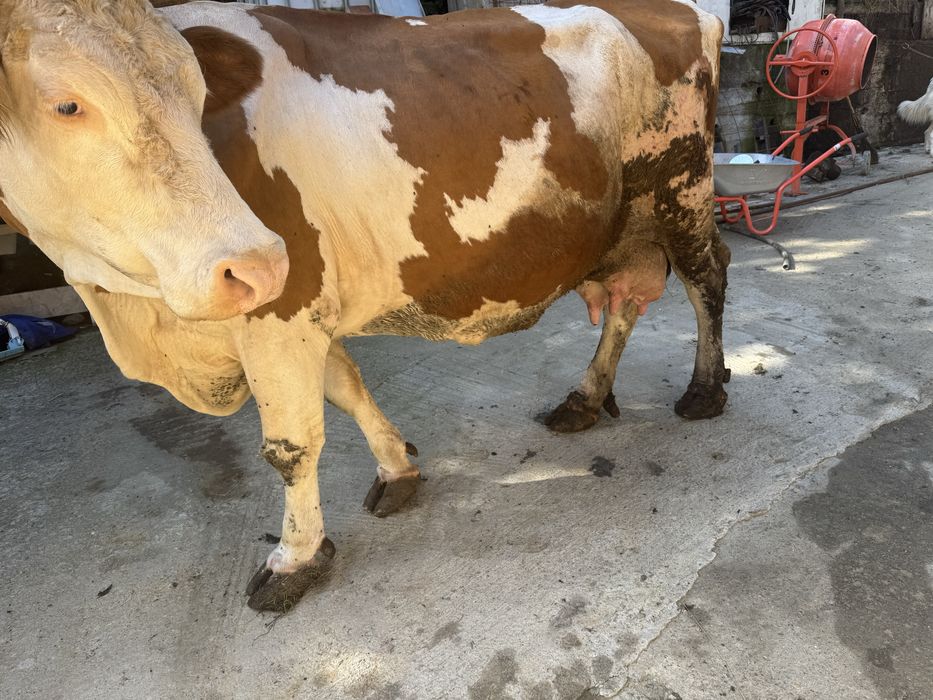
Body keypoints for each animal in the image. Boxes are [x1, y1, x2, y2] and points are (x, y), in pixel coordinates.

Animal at [0, 0, 729, 612]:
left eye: (199, 94)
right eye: (67, 105)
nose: (251, 263)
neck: (134, 307)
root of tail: (680, 10)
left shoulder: (282, 302)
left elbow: (292, 444)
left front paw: (294, 560)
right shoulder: (298, 307)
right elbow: (346, 388)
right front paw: (399, 467)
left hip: (681, 191)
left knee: (707, 280)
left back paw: (704, 390)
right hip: (623, 226)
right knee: (625, 302)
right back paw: (584, 398)